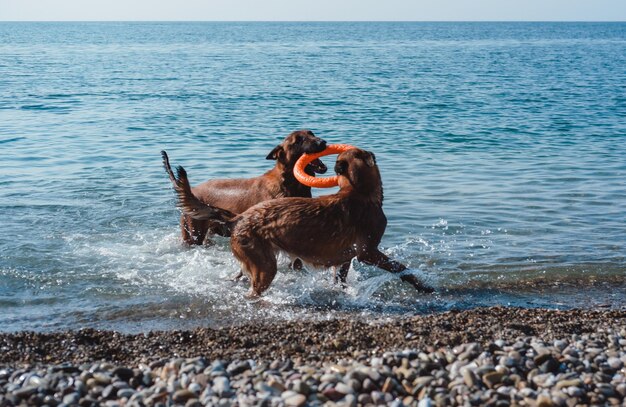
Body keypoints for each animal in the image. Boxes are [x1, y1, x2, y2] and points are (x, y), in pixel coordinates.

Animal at [161, 131, 326, 245]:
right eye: (298, 140)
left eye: (311, 133)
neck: (288, 183)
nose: (322, 142)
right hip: (193, 234)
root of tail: (193, 191)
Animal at [171, 147, 434, 296]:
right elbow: (401, 269)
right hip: (265, 266)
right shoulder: (367, 252)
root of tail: (239, 217)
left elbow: (341, 278)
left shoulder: (347, 257)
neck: (358, 191)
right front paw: (423, 286)